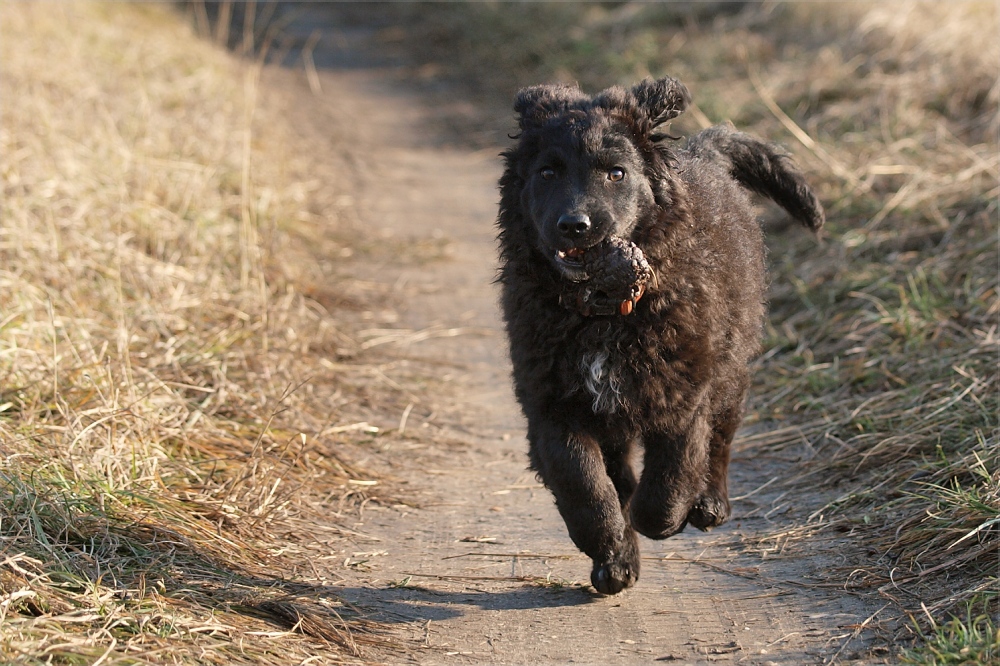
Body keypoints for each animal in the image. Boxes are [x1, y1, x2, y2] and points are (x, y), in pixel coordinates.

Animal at [496, 76, 824, 592]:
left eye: (616, 173)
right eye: (547, 172)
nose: (575, 225)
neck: (601, 314)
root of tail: (703, 152)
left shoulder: (683, 387)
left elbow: (672, 473)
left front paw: (663, 518)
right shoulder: (551, 403)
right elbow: (585, 486)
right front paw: (614, 555)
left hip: (732, 363)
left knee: (721, 436)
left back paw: (709, 504)